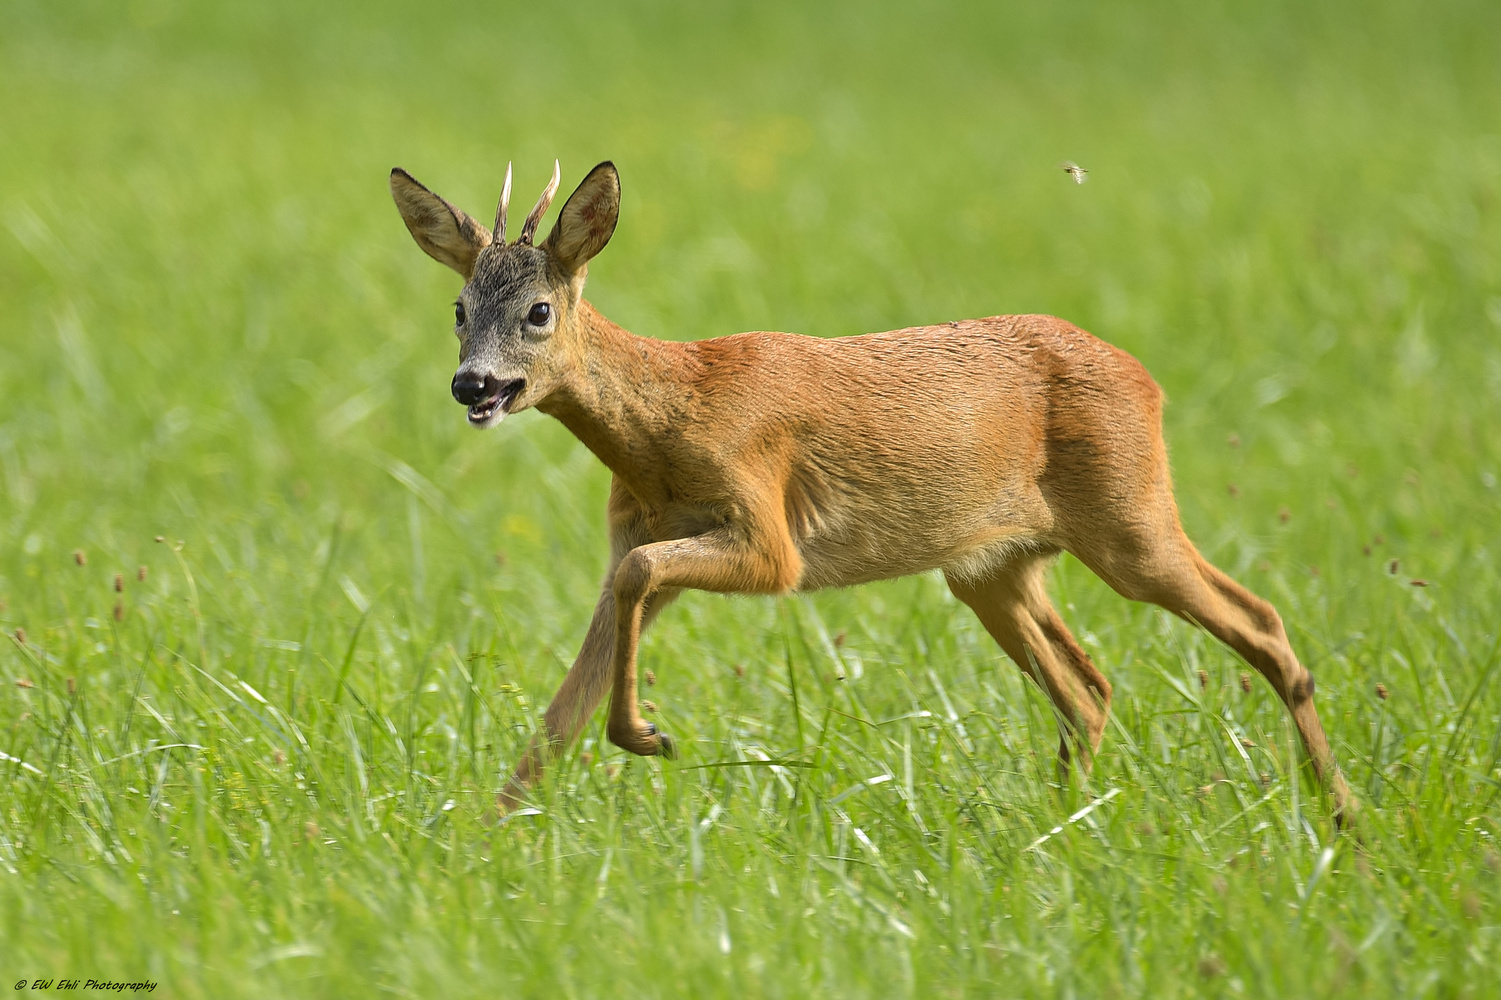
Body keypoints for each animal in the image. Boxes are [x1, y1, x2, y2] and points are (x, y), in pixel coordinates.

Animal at [393, 159, 1356, 822]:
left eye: (538, 312)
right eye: (457, 311)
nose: (473, 385)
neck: (670, 424)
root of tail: (1147, 380)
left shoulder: (768, 537)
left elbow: (642, 589)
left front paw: (645, 736)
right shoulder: (634, 539)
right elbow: (561, 708)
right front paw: (482, 837)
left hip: (1131, 520)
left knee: (1259, 622)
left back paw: (1340, 811)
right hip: (994, 569)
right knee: (1088, 688)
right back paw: (1058, 823)